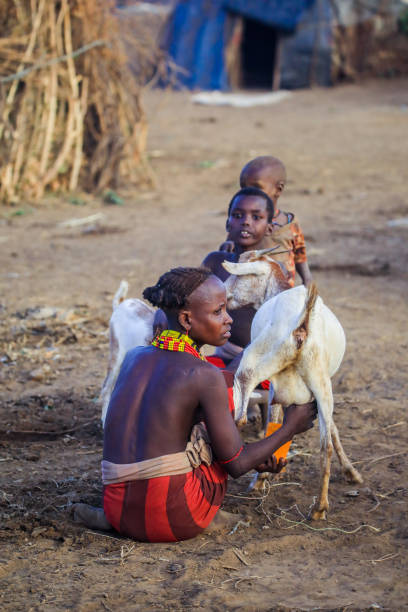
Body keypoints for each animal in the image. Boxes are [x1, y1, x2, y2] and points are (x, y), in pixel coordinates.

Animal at [222, 256, 362, 520]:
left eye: (239, 275)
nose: (223, 295)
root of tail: (302, 324)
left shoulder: (276, 387)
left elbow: (275, 421)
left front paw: (263, 478)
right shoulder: (320, 388)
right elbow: (333, 429)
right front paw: (351, 471)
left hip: (262, 354)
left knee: (245, 379)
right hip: (320, 380)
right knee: (325, 446)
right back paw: (320, 508)